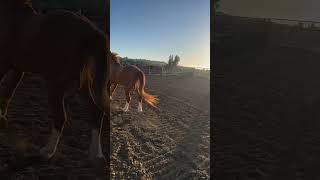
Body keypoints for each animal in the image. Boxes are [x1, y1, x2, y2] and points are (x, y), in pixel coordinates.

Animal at [0, 0, 110, 178]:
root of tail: (90, 31)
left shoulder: (5, 65)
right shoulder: (17, 69)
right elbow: (7, 94)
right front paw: (1, 119)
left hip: (55, 84)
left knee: (60, 117)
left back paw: (46, 152)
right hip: (82, 84)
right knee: (96, 113)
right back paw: (96, 156)